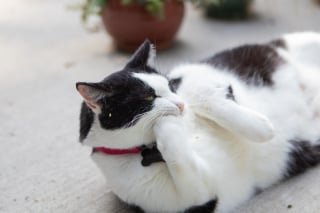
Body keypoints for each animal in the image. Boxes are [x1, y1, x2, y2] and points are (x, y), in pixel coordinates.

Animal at [76, 32, 320, 213]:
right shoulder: (198, 197)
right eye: (147, 98)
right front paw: (164, 124)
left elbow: (203, 93)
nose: (179, 105)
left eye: (170, 86)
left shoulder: (192, 72)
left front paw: (260, 125)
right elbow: (182, 163)